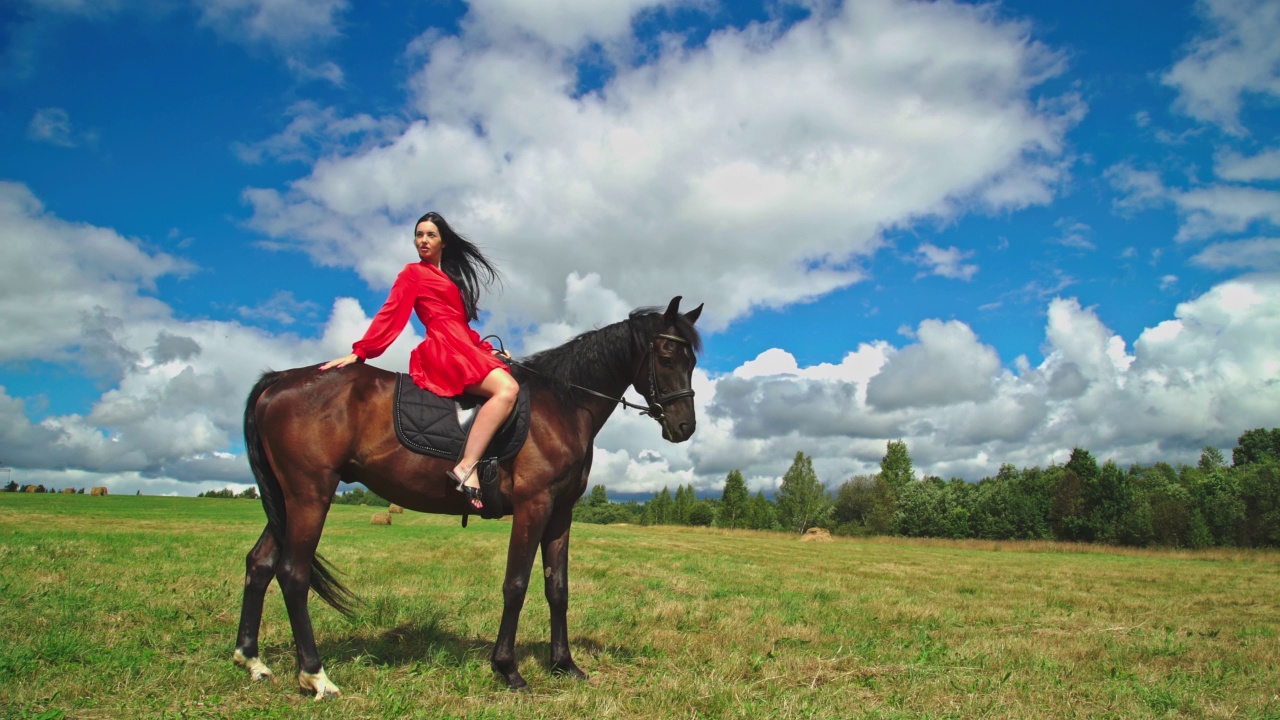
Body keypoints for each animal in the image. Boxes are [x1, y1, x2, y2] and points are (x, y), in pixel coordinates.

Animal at [235, 294, 706, 691]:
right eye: (667, 356)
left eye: (693, 360)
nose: (685, 426)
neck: (562, 404)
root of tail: (280, 380)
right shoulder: (534, 506)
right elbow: (516, 584)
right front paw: (508, 668)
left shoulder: (561, 512)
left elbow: (558, 588)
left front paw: (564, 664)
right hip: (310, 495)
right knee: (293, 574)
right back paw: (315, 675)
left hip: (289, 500)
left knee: (260, 564)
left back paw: (252, 660)